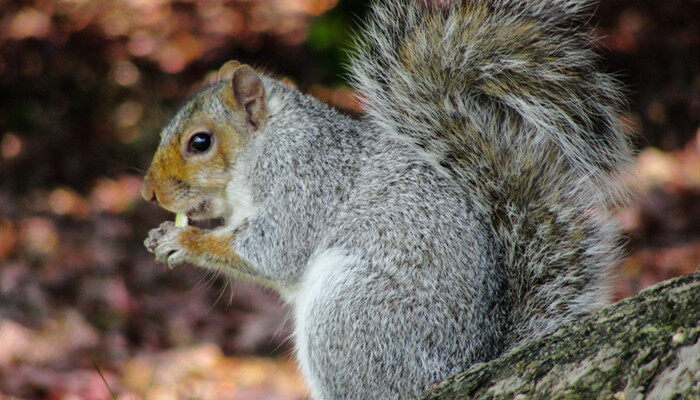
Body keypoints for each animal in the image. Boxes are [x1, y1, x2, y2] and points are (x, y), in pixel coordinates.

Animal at [139, 0, 632, 396]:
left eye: (200, 142)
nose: (148, 191)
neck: (267, 145)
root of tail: (467, 361)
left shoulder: (303, 183)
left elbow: (275, 252)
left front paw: (181, 241)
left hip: (350, 316)